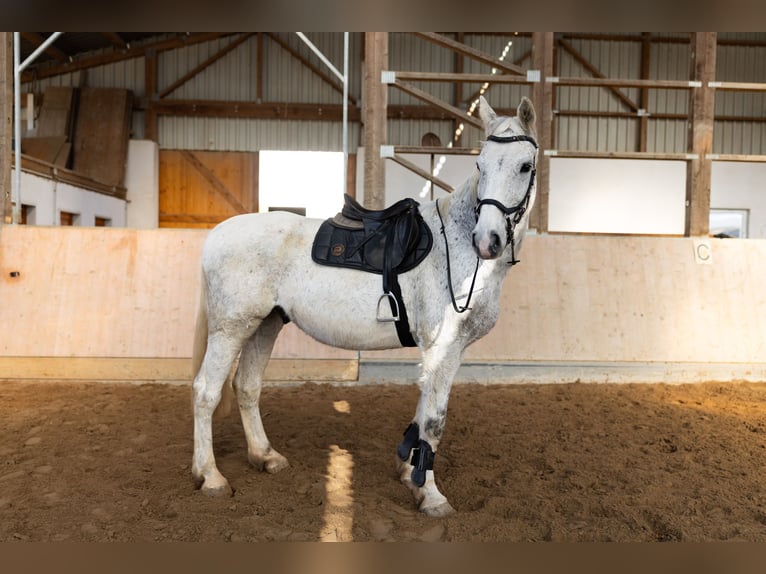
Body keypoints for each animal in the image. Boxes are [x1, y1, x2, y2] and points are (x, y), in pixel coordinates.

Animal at [192, 97, 540, 520]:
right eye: (481, 165)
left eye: (525, 166)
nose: (486, 240)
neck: (454, 243)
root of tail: (216, 234)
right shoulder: (444, 347)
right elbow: (434, 422)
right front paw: (430, 494)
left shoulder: (438, 352)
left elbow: (422, 412)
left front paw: (409, 474)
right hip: (231, 328)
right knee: (206, 391)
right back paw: (210, 477)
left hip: (265, 324)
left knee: (246, 386)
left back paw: (265, 456)